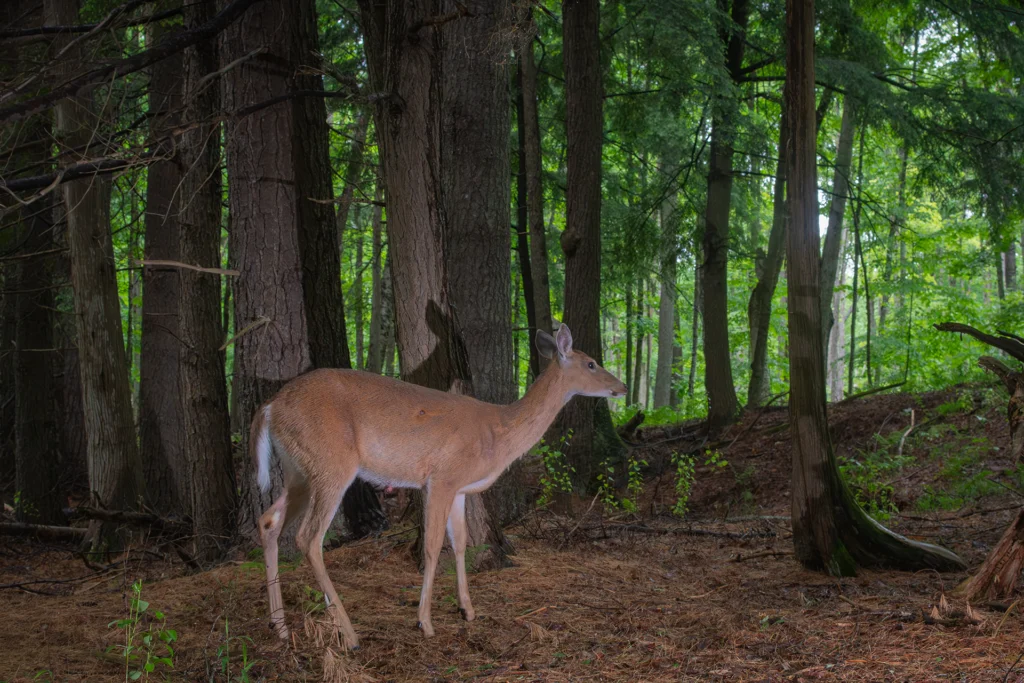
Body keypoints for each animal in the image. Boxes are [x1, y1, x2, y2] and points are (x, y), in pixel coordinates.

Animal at [251, 323, 627, 650]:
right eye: (591, 363)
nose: (621, 387)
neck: (498, 433)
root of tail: (270, 407)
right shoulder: (441, 477)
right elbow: (433, 547)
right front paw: (425, 622)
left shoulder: (459, 489)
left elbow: (460, 542)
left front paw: (467, 610)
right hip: (331, 463)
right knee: (308, 538)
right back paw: (349, 633)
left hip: (299, 471)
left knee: (269, 520)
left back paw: (279, 625)